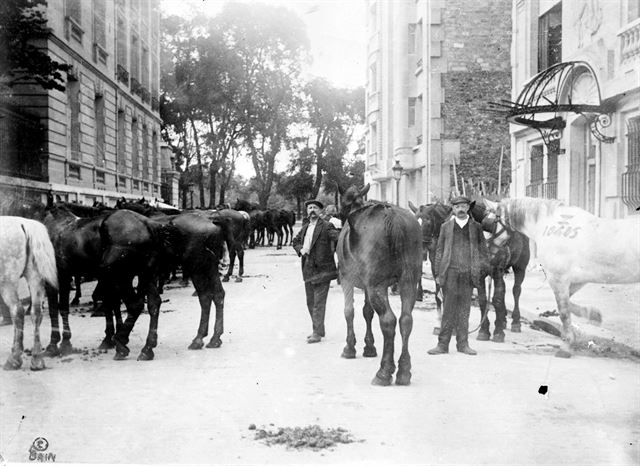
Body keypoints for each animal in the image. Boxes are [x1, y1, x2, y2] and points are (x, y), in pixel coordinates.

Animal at [0, 216, 57, 372]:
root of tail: (23, 224)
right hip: (35, 276)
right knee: (36, 312)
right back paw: (36, 359)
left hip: (7, 282)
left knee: (17, 311)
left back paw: (14, 359)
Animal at [336, 185, 424, 386]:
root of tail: (393, 217)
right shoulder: (367, 285)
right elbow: (367, 312)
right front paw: (369, 346)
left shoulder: (346, 279)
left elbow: (349, 311)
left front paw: (350, 347)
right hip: (409, 281)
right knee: (406, 319)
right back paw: (404, 371)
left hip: (377, 286)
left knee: (388, 321)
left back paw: (384, 371)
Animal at [490, 198, 640, 356]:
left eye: (491, 223)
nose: (490, 253)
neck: (546, 224)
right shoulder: (575, 280)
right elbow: (568, 305)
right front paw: (593, 315)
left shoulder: (558, 278)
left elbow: (563, 311)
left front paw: (566, 345)